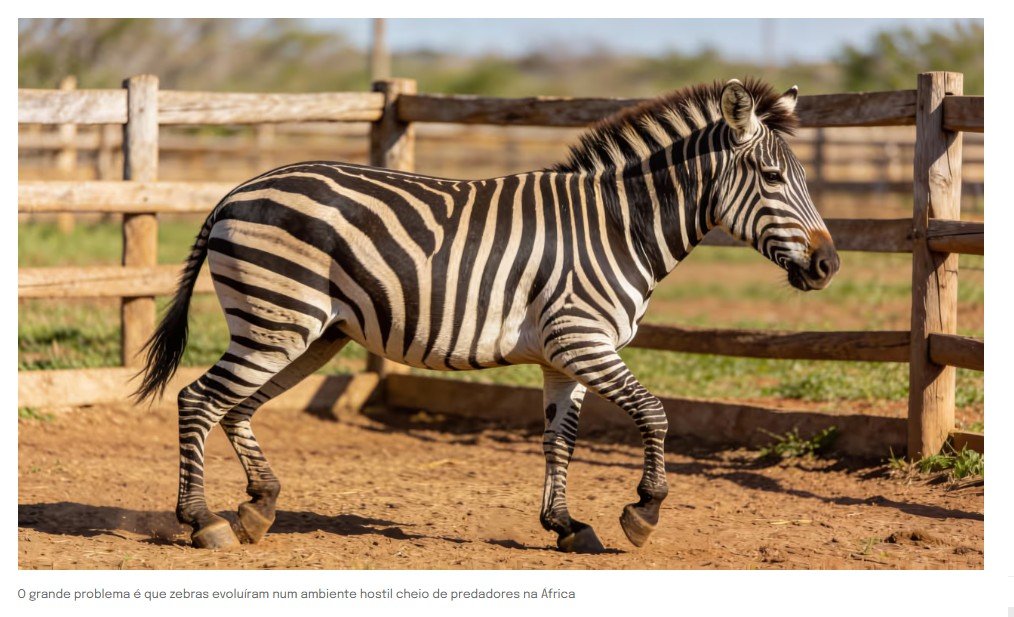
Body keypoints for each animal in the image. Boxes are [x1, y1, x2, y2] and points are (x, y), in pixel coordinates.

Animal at [134, 78, 839, 554]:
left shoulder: (564, 355)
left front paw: (565, 525)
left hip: (310, 333)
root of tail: (236, 191)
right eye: (773, 178)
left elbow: (560, 438)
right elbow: (655, 413)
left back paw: (258, 508)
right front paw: (643, 512)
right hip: (276, 322)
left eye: (804, 178)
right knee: (199, 400)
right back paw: (203, 522)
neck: (618, 227)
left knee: (236, 407)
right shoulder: (583, 340)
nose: (829, 265)